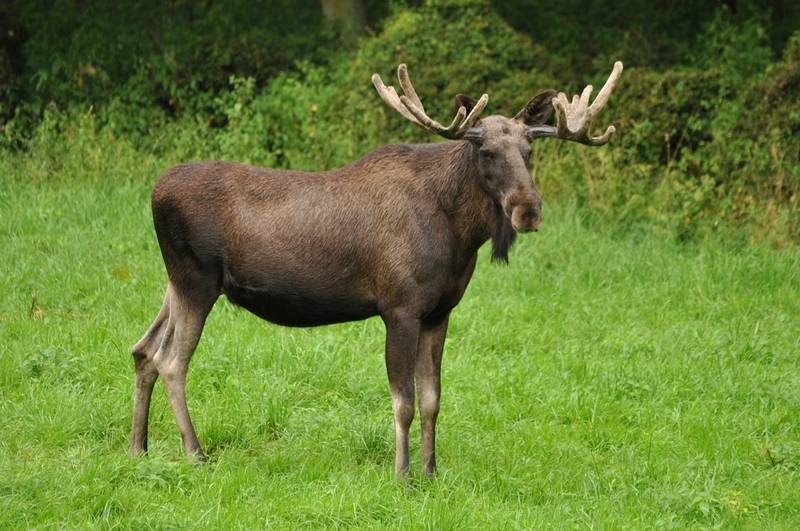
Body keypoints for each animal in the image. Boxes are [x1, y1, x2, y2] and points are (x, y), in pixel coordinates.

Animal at [131, 61, 620, 474]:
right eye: (485, 152)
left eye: (529, 149)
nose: (528, 210)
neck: (459, 235)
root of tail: (155, 191)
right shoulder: (399, 307)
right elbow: (403, 401)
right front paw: (403, 475)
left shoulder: (440, 311)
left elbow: (433, 399)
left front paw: (431, 470)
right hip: (196, 280)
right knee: (171, 360)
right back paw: (194, 453)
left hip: (176, 284)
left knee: (143, 350)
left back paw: (139, 448)